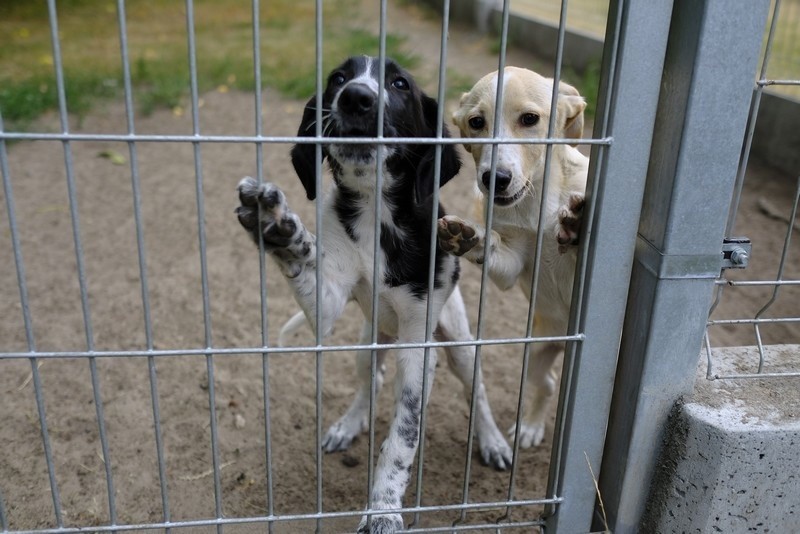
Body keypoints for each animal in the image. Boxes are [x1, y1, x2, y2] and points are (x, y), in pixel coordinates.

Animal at [234, 56, 510, 532]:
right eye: (337, 79)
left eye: (399, 84)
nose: (356, 98)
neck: (376, 214)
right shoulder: (325, 303)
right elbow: (303, 263)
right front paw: (277, 227)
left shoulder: (419, 351)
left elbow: (401, 439)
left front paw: (383, 509)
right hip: (367, 343)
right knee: (371, 380)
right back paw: (349, 423)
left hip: (457, 342)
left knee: (476, 392)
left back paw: (492, 441)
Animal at [438, 68, 588, 452]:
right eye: (476, 123)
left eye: (530, 119)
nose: (495, 179)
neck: (539, 202)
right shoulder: (513, 262)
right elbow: (490, 247)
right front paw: (467, 236)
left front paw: (573, 225)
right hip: (534, 358)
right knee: (548, 384)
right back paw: (530, 427)